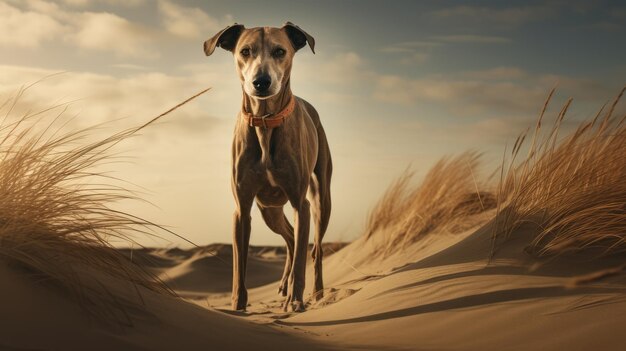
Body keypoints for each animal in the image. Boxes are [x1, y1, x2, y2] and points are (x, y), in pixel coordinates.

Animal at [204, 22, 332, 314]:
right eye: (245, 51)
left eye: (280, 51)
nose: (261, 82)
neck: (265, 121)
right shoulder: (242, 208)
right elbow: (239, 264)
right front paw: (237, 305)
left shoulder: (300, 203)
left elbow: (302, 260)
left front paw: (296, 300)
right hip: (268, 209)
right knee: (291, 238)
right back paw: (284, 285)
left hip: (321, 199)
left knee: (314, 248)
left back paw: (315, 293)